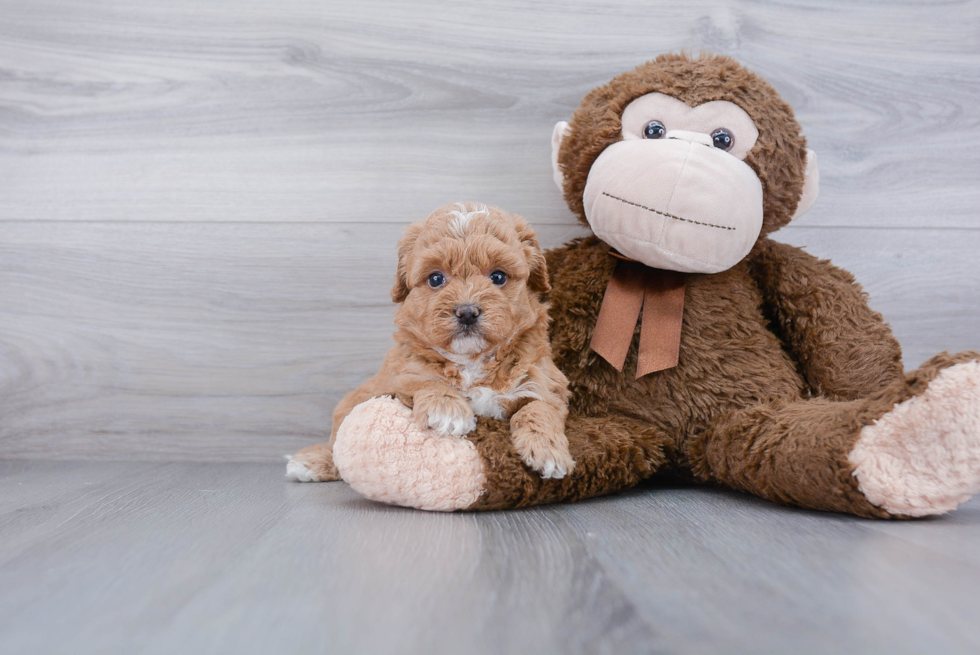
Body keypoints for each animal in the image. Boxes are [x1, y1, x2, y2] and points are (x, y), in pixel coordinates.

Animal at [298, 200, 576, 482]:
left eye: (498, 277)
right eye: (435, 278)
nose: (467, 312)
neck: (472, 361)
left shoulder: (543, 380)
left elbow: (539, 408)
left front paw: (548, 450)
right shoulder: (395, 375)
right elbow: (422, 378)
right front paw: (447, 410)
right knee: (336, 443)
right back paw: (313, 462)